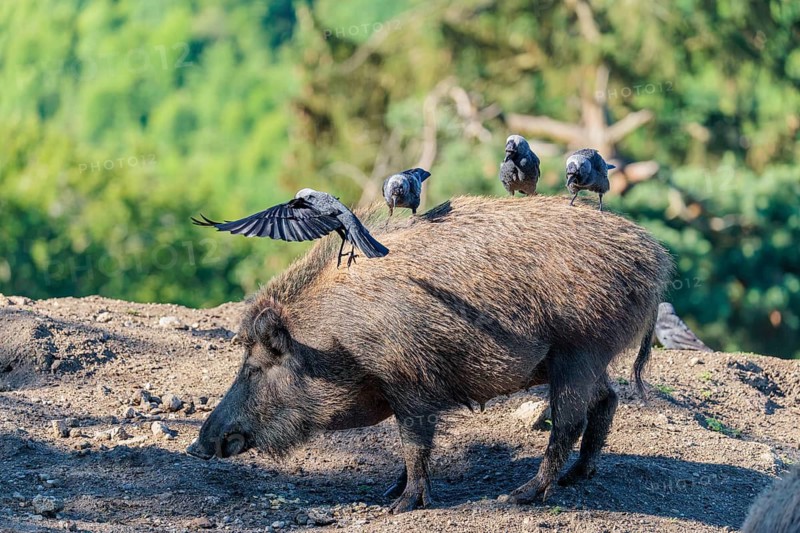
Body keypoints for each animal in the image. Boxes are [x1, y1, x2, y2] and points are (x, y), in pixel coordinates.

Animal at [188, 195, 672, 513]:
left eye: (255, 368)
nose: (197, 446)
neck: (337, 343)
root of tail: (655, 260)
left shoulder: (410, 383)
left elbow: (414, 442)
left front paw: (400, 506)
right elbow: (411, 448)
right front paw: (388, 493)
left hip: (579, 352)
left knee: (568, 423)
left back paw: (520, 496)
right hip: (587, 359)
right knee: (607, 401)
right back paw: (578, 477)